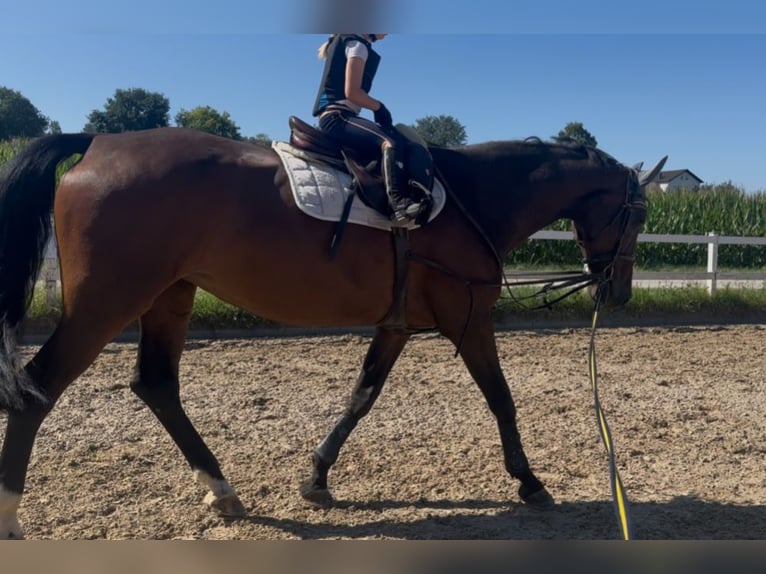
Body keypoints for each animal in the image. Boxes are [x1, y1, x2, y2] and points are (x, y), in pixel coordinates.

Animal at [0, 126, 666, 539]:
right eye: (637, 214)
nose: (618, 293)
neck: (471, 200)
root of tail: (97, 144)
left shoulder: (398, 326)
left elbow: (361, 396)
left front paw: (317, 478)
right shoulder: (470, 320)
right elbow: (501, 399)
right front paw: (529, 482)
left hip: (169, 298)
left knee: (156, 386)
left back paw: (222, 490)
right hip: (108, 303)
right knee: (37, 389)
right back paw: (11, 516)